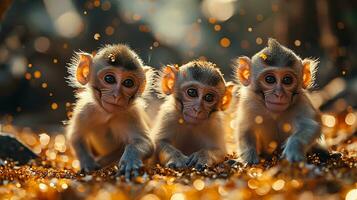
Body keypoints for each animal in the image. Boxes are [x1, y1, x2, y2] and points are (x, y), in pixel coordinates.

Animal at [66, 44, 154, 178]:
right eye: (109, 79)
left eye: (128, 82)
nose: (116, 96)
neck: (107, 114)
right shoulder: (85, 110)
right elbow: (76, 135)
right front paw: (88, 164)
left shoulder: (131, 114)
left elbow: (146, 143)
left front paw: (130, 160)